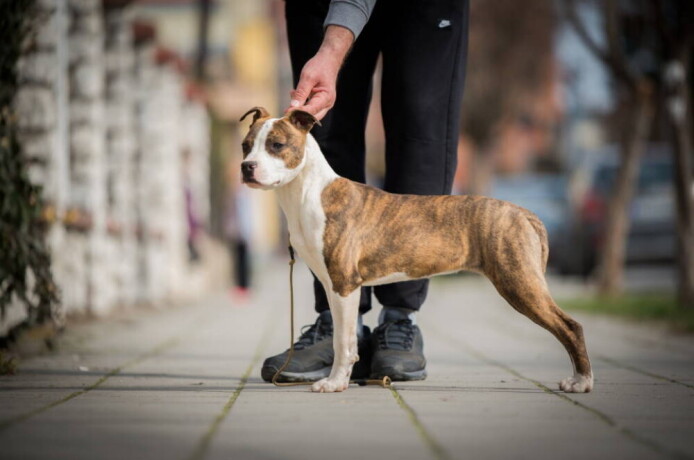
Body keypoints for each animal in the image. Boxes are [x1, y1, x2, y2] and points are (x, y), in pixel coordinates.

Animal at [239, 106, 592, 394]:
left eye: (276, 145)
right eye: (245, 145)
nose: (246, 167)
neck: (308, 192)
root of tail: (525, 213)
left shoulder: (344, 283)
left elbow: (343, 341)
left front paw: (334, 383)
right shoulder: (332, 284)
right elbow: (343, 335)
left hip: (518, 281)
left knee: (570, 326)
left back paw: (581, 382)